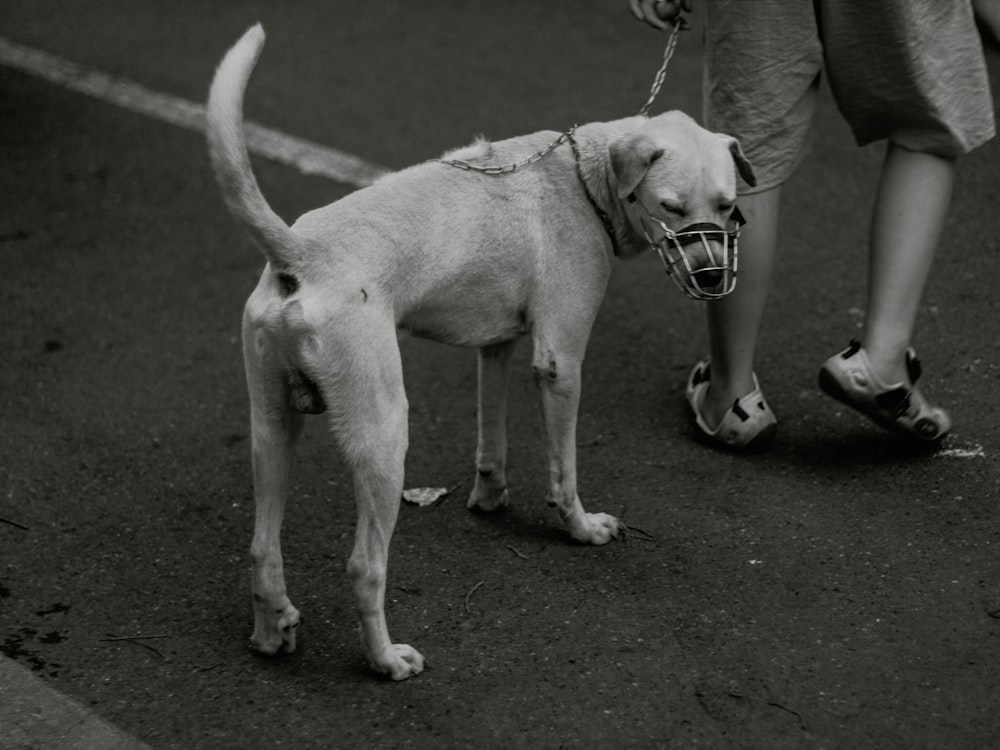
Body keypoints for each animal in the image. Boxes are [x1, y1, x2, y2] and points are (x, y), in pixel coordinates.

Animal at [205, 25, 752, 680]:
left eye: (727, 206)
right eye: (670, 208)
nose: (712, 278)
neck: (583, 178)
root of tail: (298, 251)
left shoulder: (496, 346)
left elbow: (493, 439)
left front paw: (490, 499)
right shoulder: (560, 363)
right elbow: (563, 470)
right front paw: (580, 528)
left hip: (272, 427)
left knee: (261, 545)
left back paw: (272, 631)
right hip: (384, 433)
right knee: (365, 566)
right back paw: (385, 659)